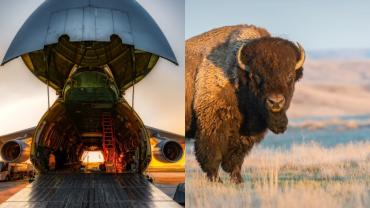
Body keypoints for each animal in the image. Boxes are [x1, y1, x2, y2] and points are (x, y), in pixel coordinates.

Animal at [186, 24, 304, 184]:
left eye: (290, 76)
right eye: (256, 76)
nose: (275, 102)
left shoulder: (243, 134)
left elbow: (236, 158)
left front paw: (238, 180)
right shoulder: (211, 124)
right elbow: (212, 155)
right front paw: (217, 180)